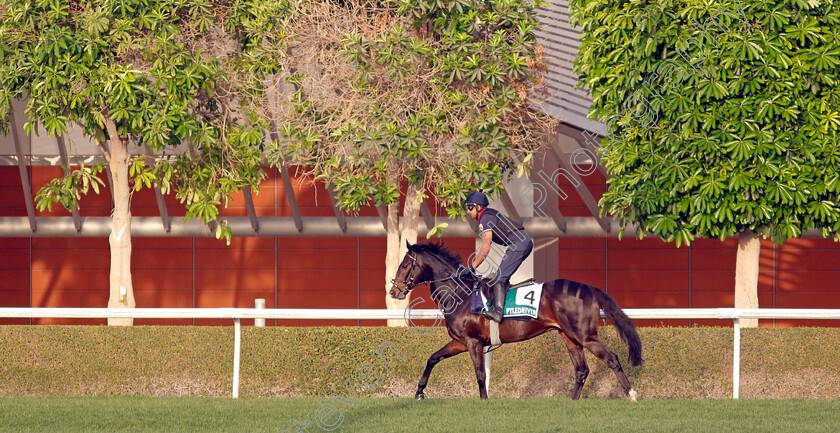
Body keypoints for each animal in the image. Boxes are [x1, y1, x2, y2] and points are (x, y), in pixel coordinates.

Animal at [388, 241, 644, 400]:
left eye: (404, 265)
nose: (393, 291)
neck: (460, 294)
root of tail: (589, 288)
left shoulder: (473, 342)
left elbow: (480, 374)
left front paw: (484, 401)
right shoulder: (460, 342)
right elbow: (432, 358)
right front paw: (419, 392)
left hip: (585, 336)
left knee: (611, 358)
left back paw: (632, 394)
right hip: (570, 337)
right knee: (581, 370)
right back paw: (571, 402)